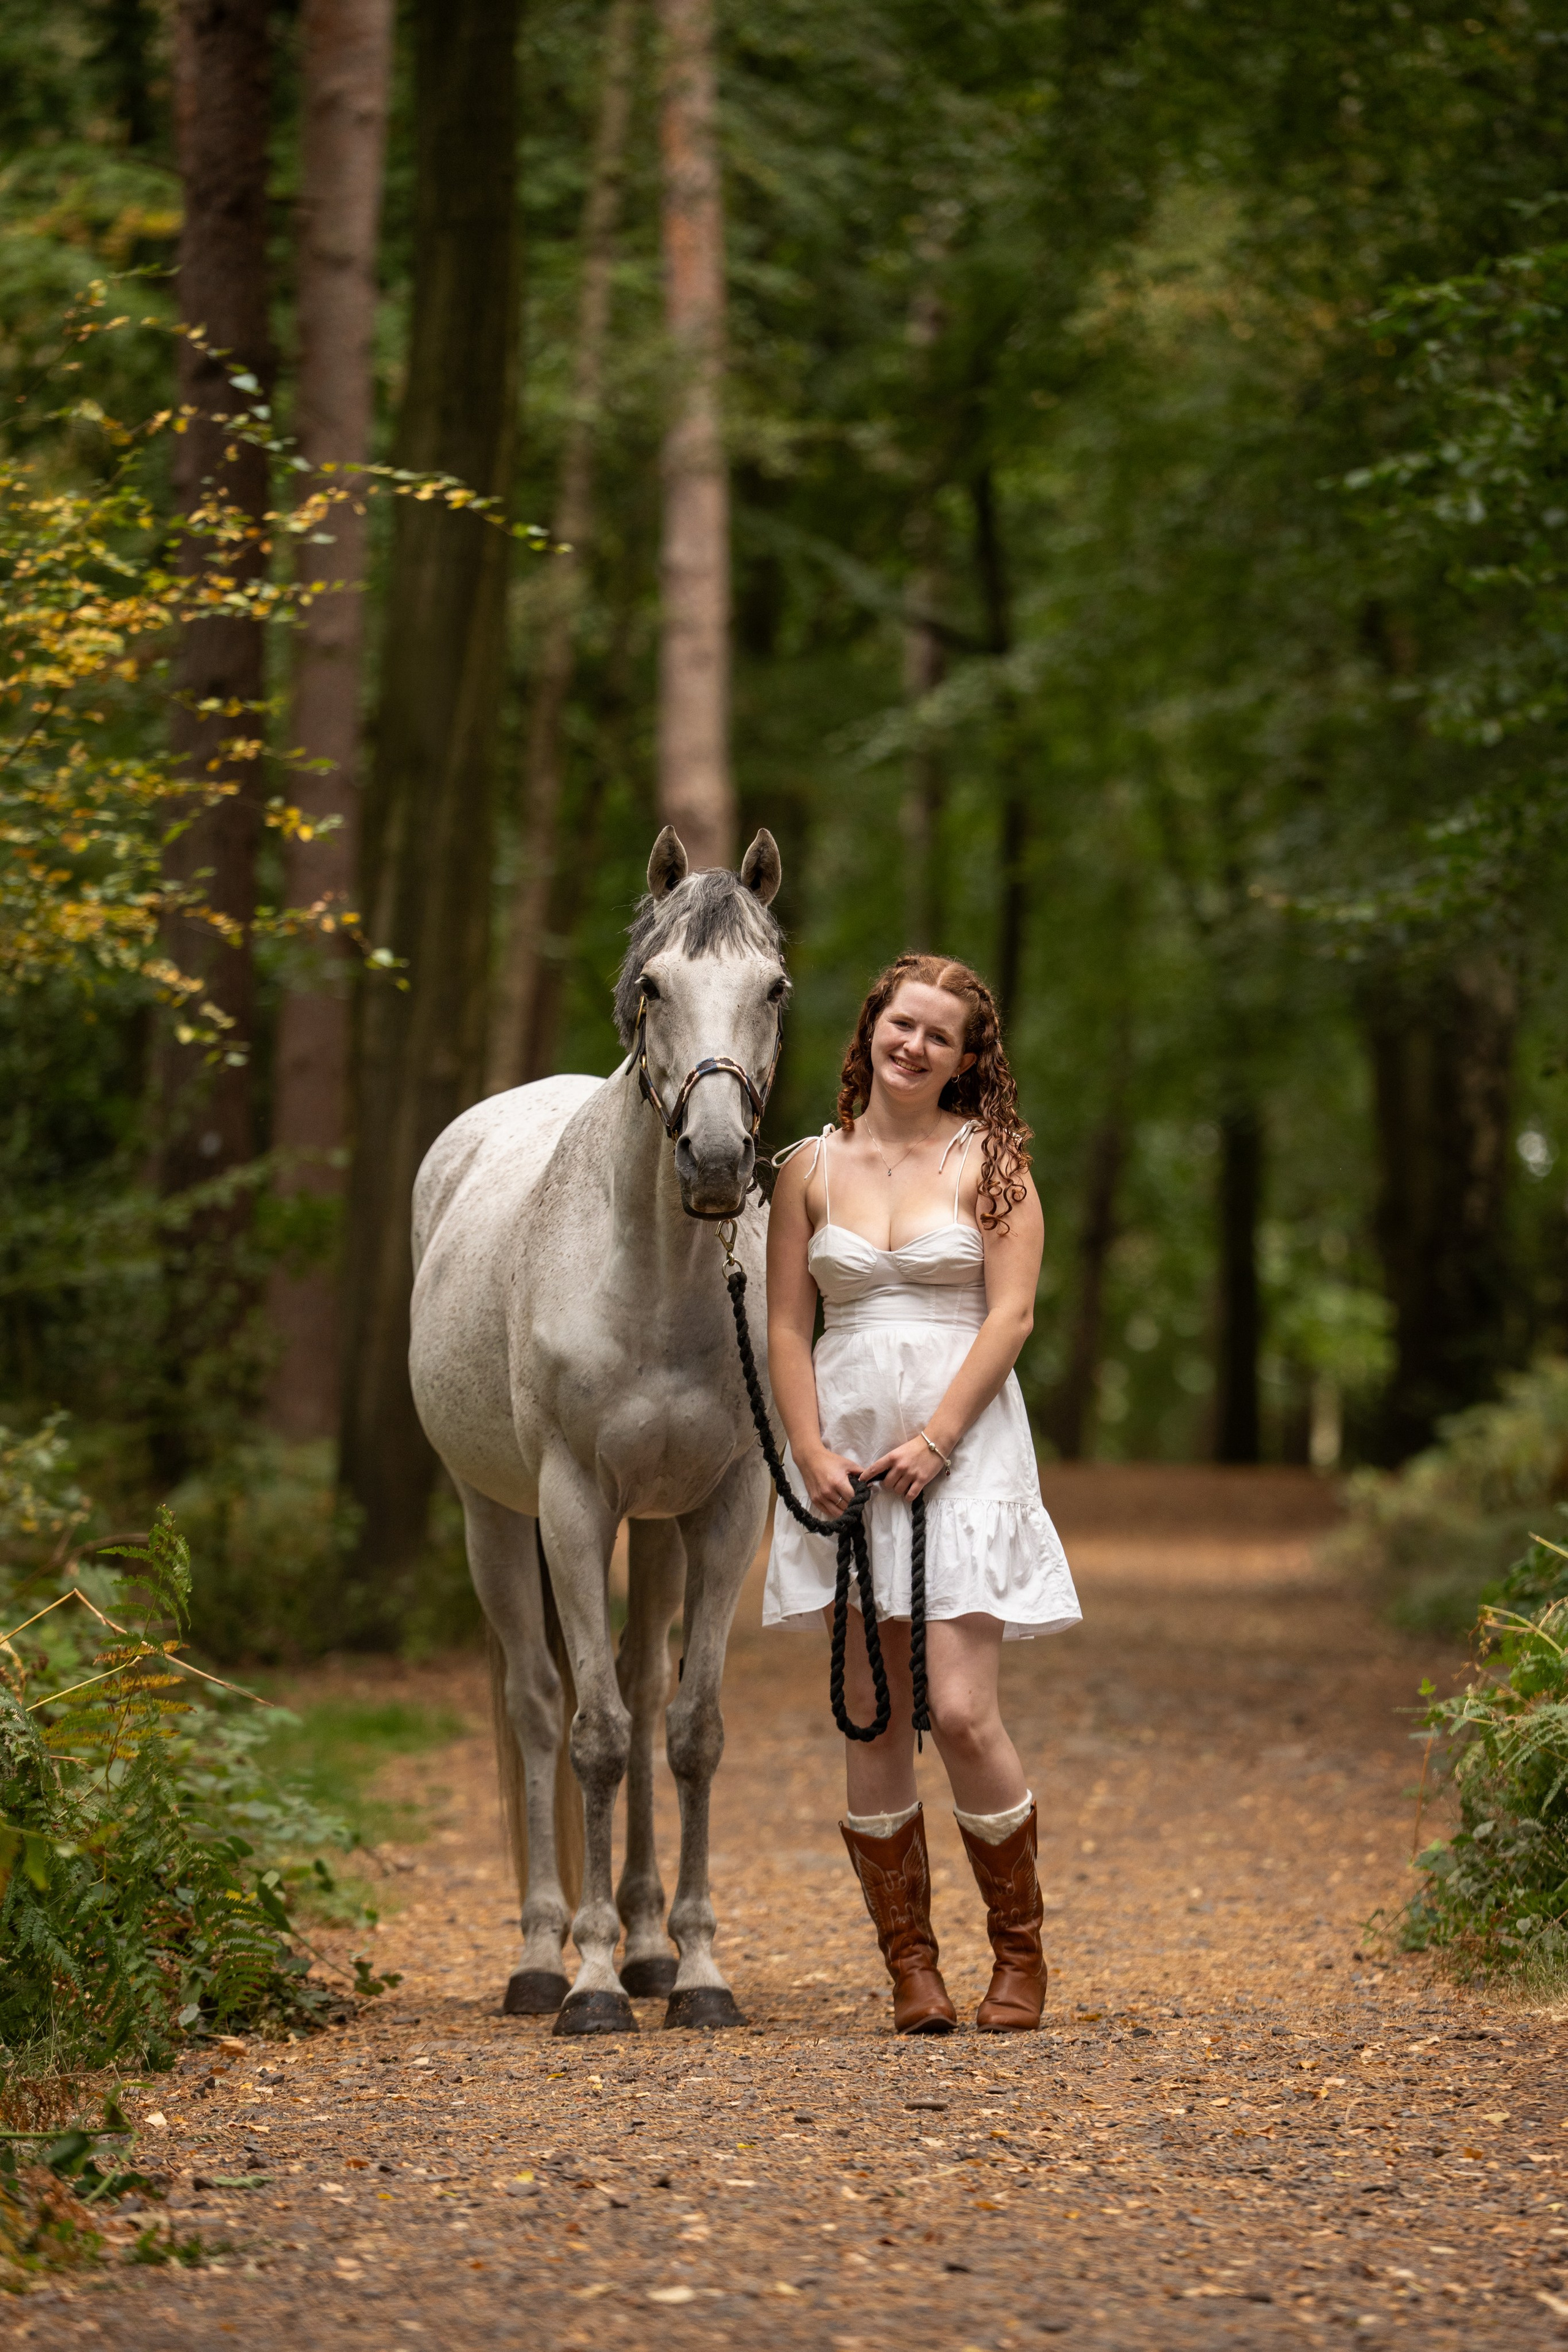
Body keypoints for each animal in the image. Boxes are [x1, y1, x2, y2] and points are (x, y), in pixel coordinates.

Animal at [408, 825, 786, 2033]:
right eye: (655, 986)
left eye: (773, 988)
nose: (715, 1162)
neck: (655, 1283)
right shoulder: (573, 1505)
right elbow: (595, 1736)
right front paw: (589, 1983)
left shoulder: (728, 1508)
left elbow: (690, 1729)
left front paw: (697, 1971)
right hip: (494, 1515)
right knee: (536, 1706)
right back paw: (542, 1952)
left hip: (656, 1528)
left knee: (644, 1683)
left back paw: (649, 1946)